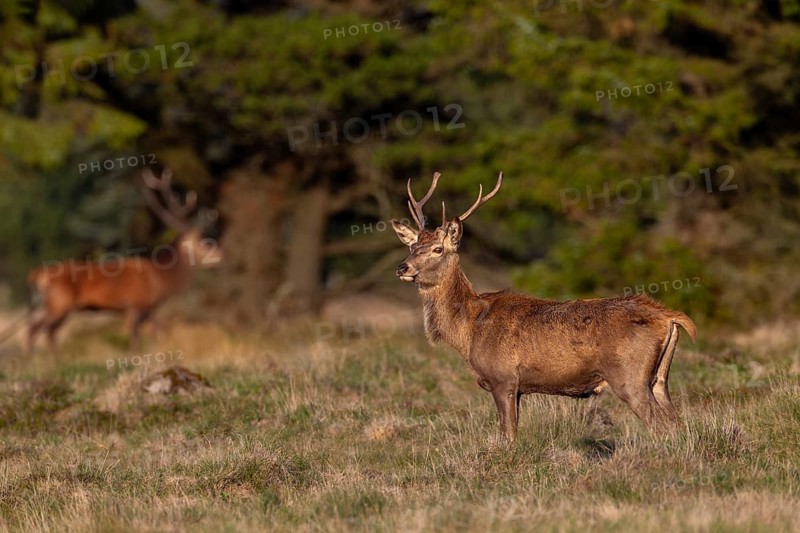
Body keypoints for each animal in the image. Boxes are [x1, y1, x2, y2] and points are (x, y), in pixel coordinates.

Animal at [26, 168, 222, 355]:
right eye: (204, 241)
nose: (220, 255)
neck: (161, 279)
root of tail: (37, 273)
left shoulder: (146, 309)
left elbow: (158, 331)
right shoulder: (136, 304)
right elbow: (135, 336)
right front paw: (134, 357)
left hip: (45, 304)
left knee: (33, 327)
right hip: (60, 302)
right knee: (46, 330)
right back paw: (55, 360)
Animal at [391, 171, 697, 442]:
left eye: (438, 249)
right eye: (412, 246)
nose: (402, 267)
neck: (468, 331)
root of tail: (668, 317)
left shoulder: (503, 378)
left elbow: (508, 436)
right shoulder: (517, 388)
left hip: (629, 376)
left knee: (661, 425)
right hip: (659, 379)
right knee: (677, 422)